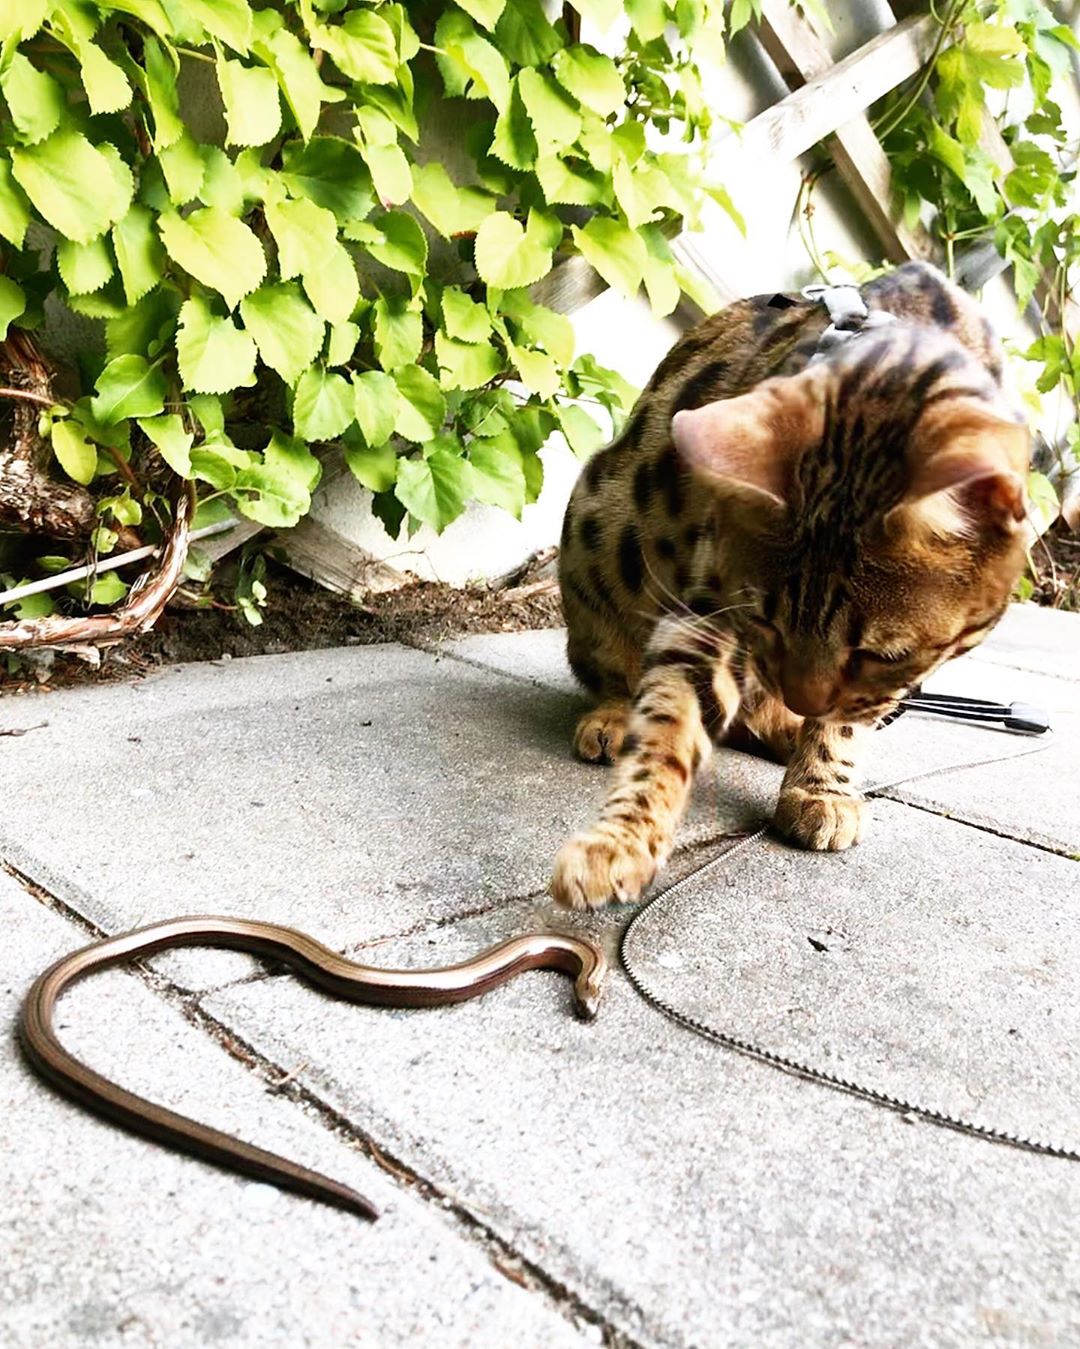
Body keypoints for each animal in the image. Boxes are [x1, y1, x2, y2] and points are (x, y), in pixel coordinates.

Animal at [547, 263, 1030, 911]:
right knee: (614, 669)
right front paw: (622, 838)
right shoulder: (707, 606)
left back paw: (784, 730)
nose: (806, 700)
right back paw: (617, 715)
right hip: (599, 524)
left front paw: (822, 784)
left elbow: (849, 720)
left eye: (882, 654)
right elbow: (668, 727)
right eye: (764, 621)